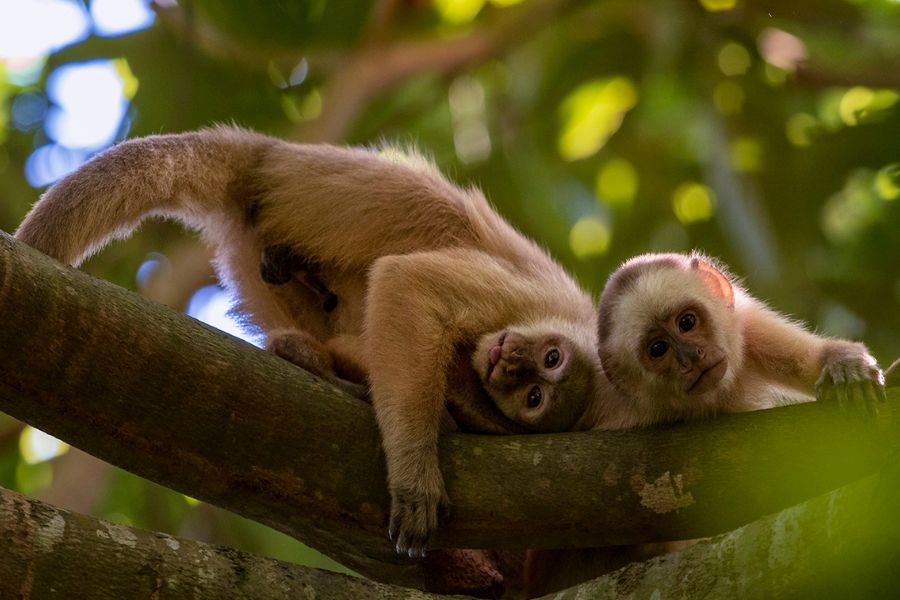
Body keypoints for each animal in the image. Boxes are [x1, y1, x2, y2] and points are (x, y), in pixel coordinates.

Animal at [14, 126, 607, 557]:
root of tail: (268, 154)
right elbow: (408, 285)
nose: (513, 365)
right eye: (550, 358)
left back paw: (310, 357)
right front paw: (415, 475)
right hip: (304, 188)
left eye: (535, 396)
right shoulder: (521, 299)